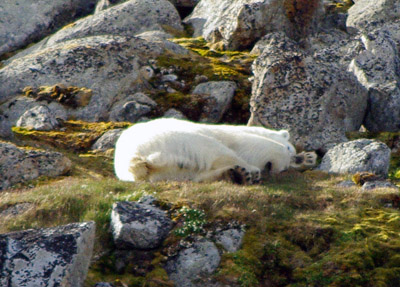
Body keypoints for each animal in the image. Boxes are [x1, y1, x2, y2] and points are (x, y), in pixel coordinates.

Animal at [114, 118, 292, 184]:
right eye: (290, 148)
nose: (282, 169)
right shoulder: (230, 136)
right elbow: (256, 145)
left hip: (166, 172)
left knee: (195, 175)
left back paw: (236, 174)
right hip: (180, 140)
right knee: (217, 151)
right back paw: (249, 172)